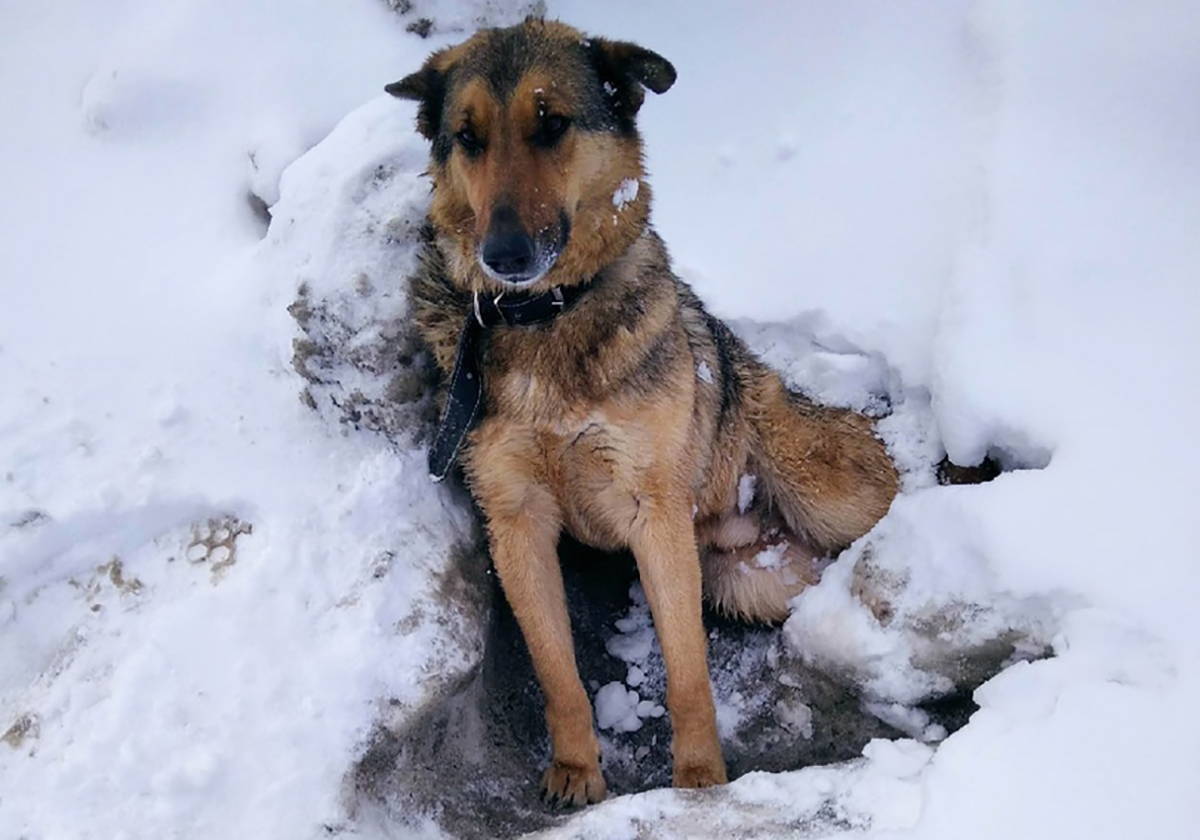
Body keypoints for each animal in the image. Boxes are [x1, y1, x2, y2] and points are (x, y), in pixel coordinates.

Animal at [388, 18, 897, 806]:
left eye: (553, 124)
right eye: (467, 137)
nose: (504, 255)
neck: (545, 319)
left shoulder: (653, 509)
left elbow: (687, 670)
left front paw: (700, 782)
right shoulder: (516, 520)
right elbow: (557, 671)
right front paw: (575, 770)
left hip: (821, 489)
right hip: (750, 579)